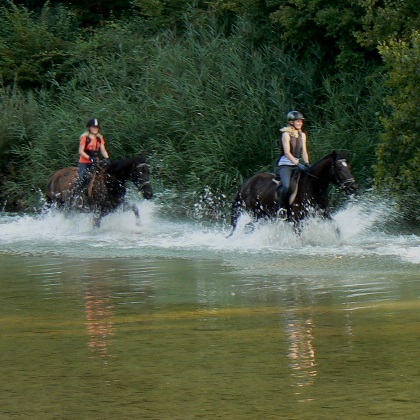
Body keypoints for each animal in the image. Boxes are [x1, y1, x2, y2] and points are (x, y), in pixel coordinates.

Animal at [230, 151, 358, 236]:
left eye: (349, 167)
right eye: (339, 168)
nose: (353, 187)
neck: (312, 188)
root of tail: (246, 184)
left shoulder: (323, 214)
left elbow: (337, 229)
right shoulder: (297, 220)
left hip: (265, 216)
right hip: (258, 214)